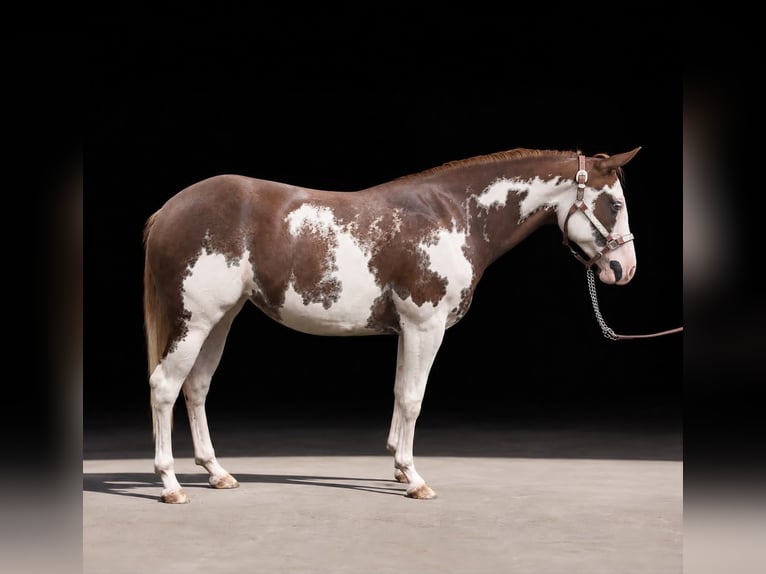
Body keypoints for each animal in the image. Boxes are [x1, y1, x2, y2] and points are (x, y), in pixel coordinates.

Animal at [143, 147, 641, 503]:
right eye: (614, 203)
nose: (624, 270)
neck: (452, 214)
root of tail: (168, 210)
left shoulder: (408, 330)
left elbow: (401, 394)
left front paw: (399, 469)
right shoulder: (425, 326)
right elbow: (414, 399)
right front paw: (415, 480)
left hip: (220, 319)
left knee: (196, 387)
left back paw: (217, 473)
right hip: (196, 320)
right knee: (165, 386)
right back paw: (171, 485)